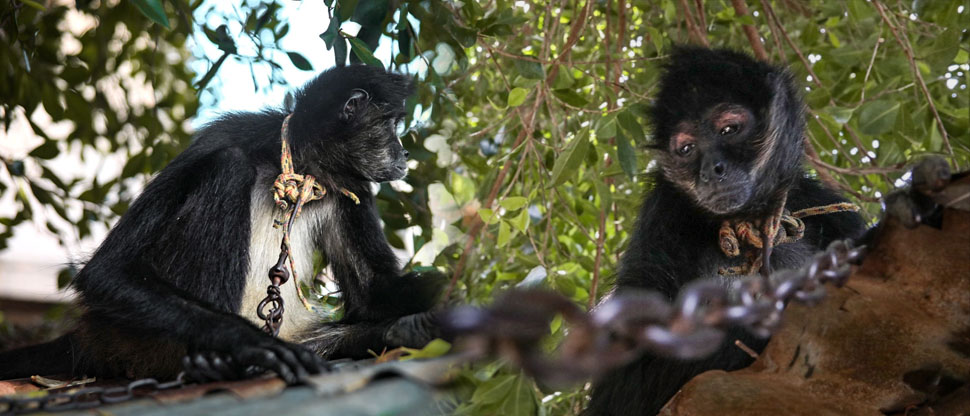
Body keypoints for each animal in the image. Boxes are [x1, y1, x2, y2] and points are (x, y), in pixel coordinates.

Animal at [0, 64, 445, 384]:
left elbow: (374, 295)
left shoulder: (351, 185)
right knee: (228, 167)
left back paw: (407, 331)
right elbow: (106, 273)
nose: (404, 153)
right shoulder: (229, 133)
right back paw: (208, 364)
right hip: (139, 338)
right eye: (391, 126)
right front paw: (245, 343)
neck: (302, 171)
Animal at [583, 47, 867, 415]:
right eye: (686, 149)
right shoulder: (662, 217)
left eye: (729, 129)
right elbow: (626, 379)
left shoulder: (830, 208)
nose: (710, 171)